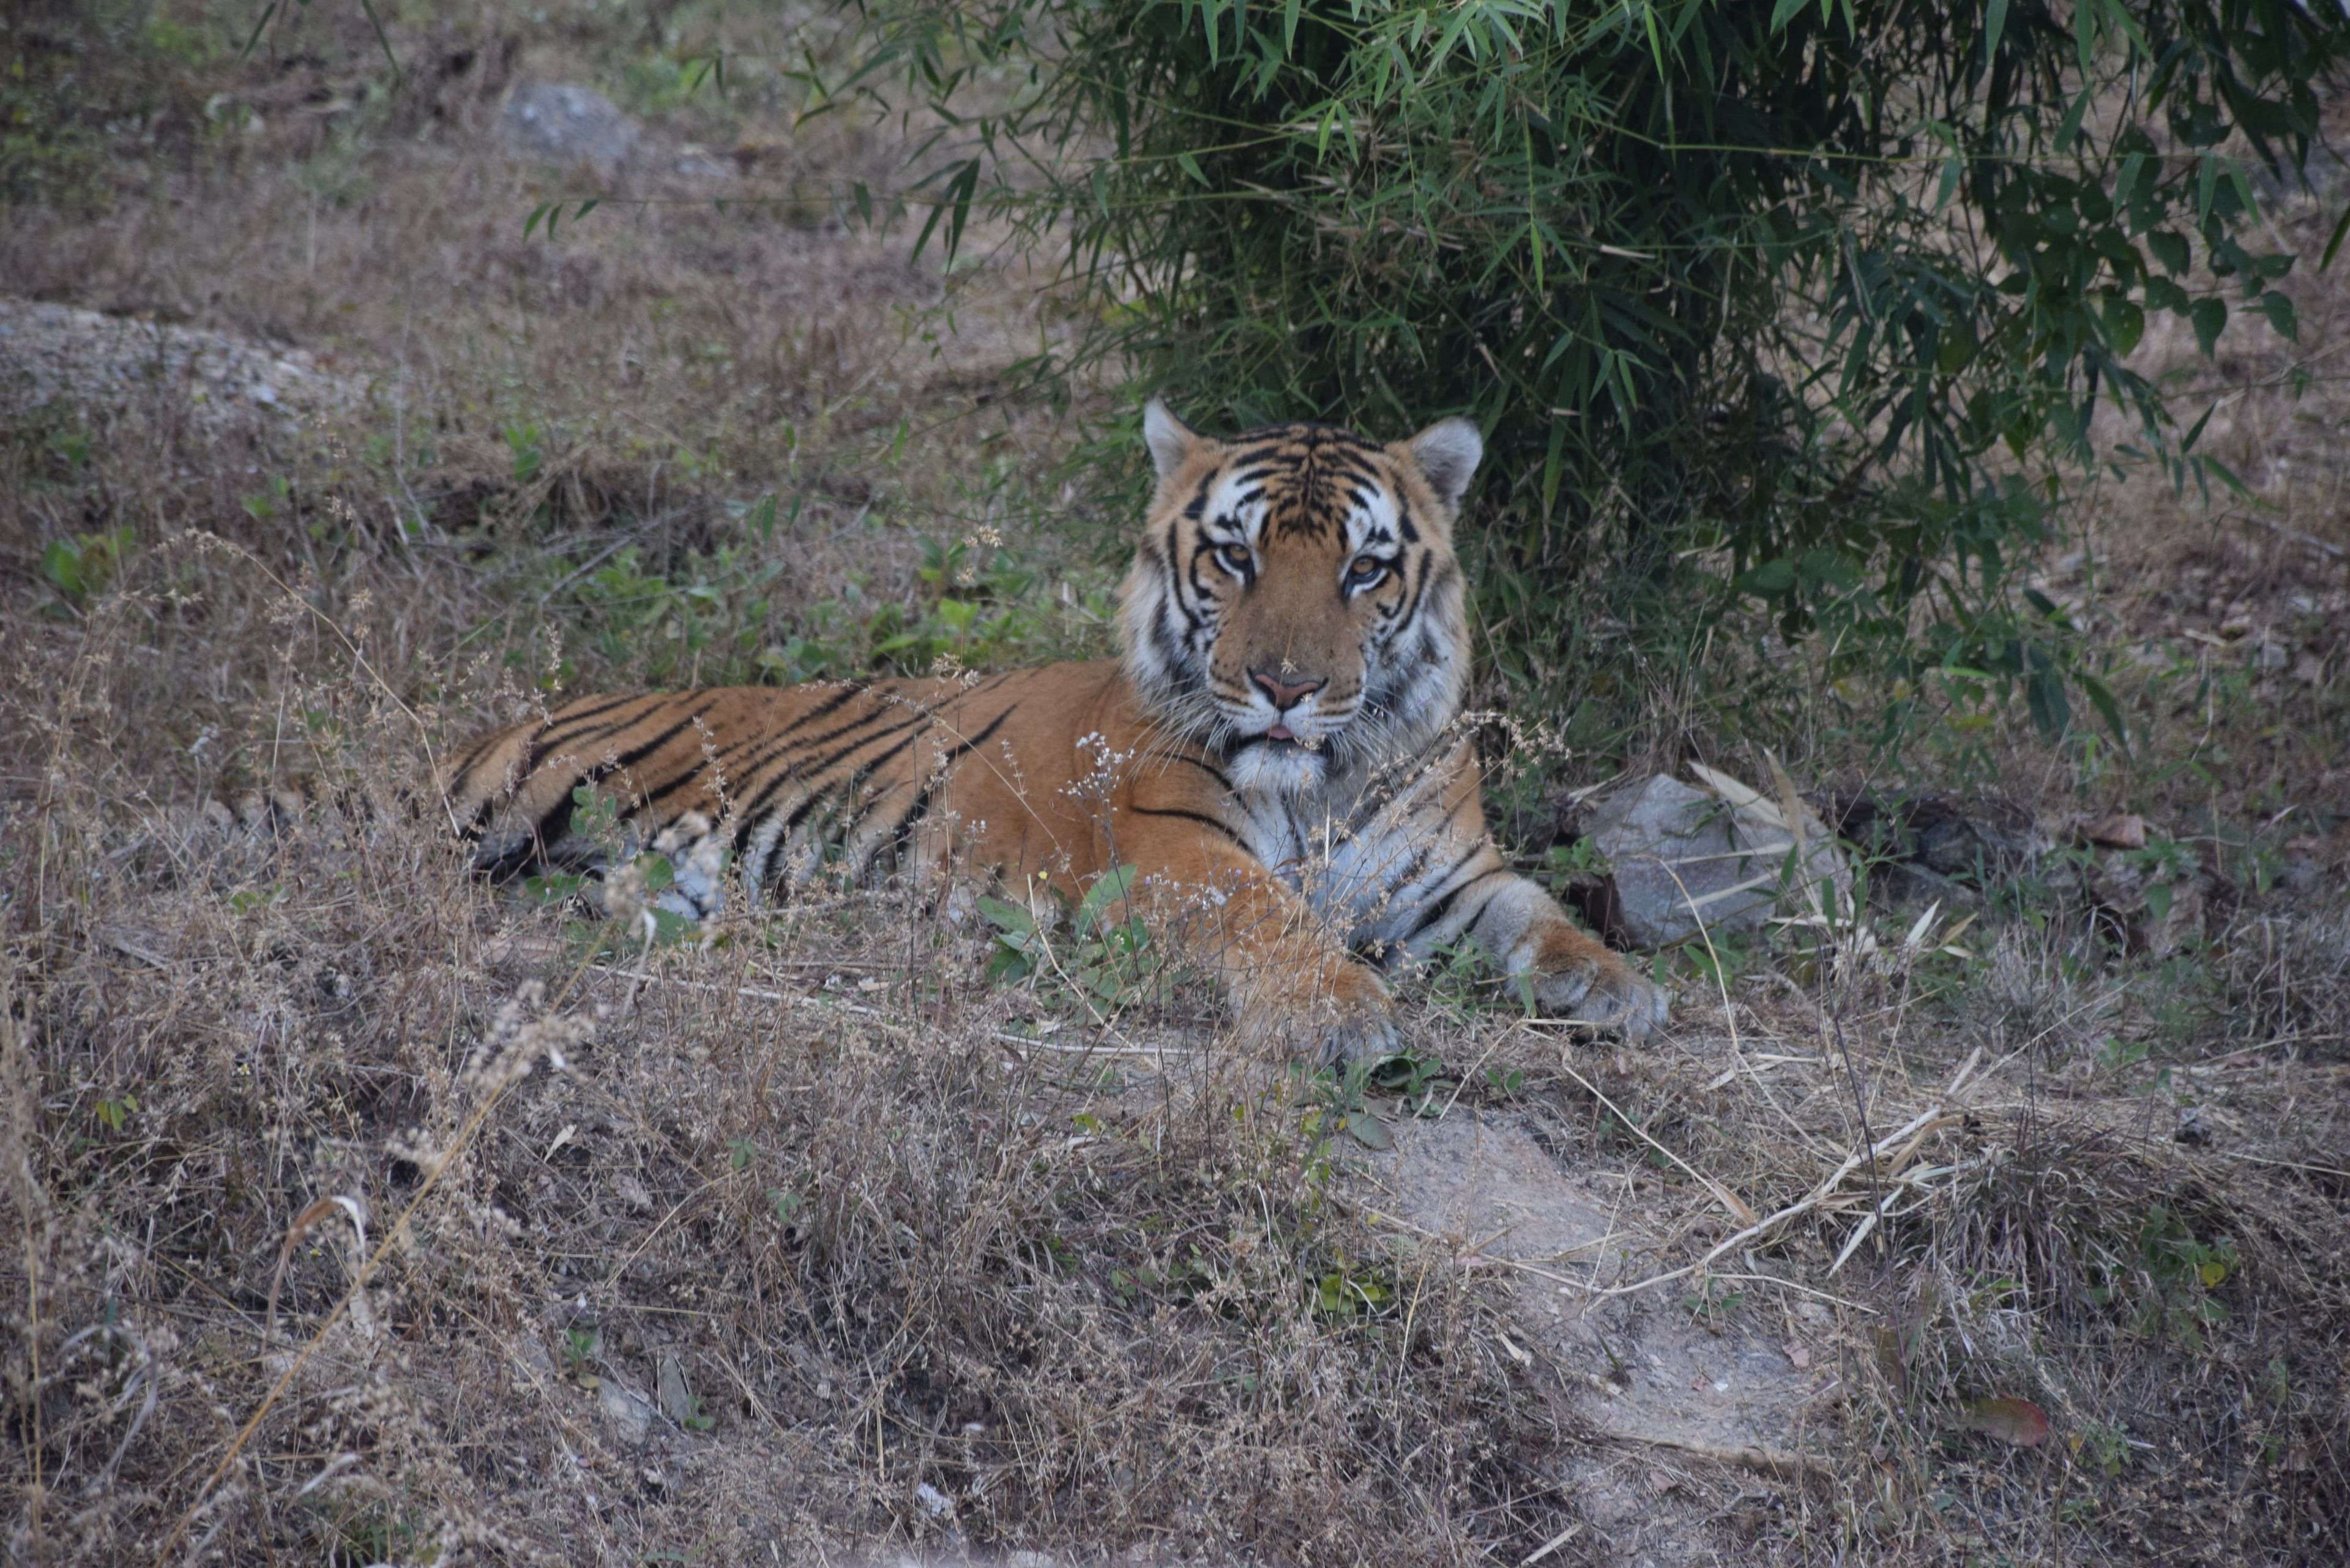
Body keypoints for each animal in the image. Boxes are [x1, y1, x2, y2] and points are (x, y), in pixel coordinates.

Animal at [449, 401, 1673, 1067]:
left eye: (1365, 570)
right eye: (1236, 556)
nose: (1284, 686)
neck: (1319, 781)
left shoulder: (1451, 875)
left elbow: (1540, 914)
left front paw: (1614, 986)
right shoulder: (1178, 853)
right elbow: (1269, 917)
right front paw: (1337, 1014)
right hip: (506, 812)